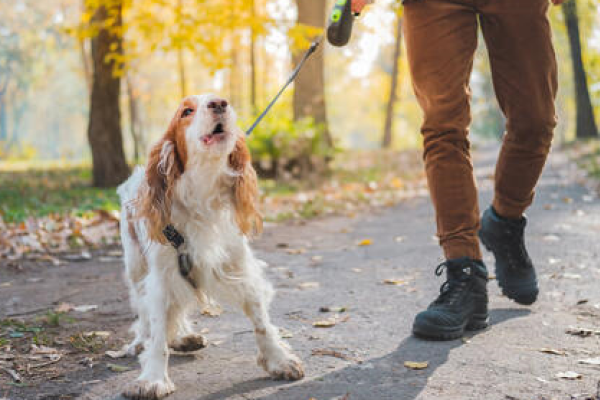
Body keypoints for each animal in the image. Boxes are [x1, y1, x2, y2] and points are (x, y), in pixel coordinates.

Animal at [117, 95, 304, 398]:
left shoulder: (239, 266)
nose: (219, 103)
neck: (202, 193)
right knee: (144, 314)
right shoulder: (161, 276)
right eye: (186, 111)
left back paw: (183, 337)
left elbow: (261, 322)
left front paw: (279, 359)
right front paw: (153, 378)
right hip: (136, 267)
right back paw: (141, 341)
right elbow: (157, 332)